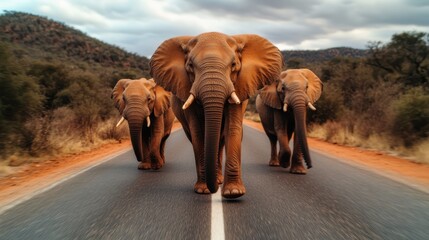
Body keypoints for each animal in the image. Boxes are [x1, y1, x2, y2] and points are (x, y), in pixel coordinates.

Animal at [149, 31, 282, 198]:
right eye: (190, 66)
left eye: (233, 65)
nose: (212, 188)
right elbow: (198, 133)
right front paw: (203, 190)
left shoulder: (239, 86)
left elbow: (232, 129)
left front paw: (234, 192)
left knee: (220, 140)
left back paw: (219, 180)